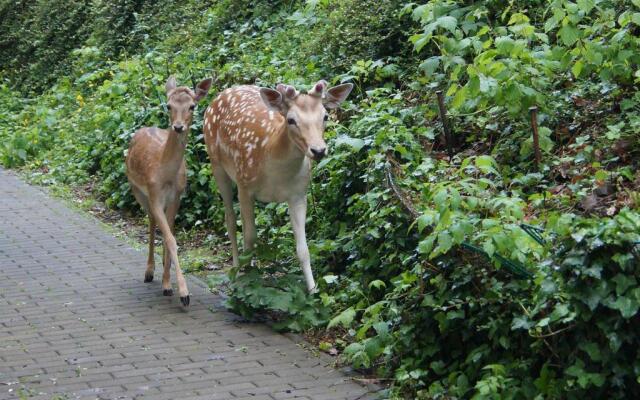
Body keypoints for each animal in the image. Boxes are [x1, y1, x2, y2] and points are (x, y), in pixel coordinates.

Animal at [125, 75, 212, 306]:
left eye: (192, 106)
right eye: (169, 105)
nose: (178, 126)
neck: (166, 176)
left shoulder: (177, 197)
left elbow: (169, 236)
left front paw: (168, 285)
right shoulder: (154, 195)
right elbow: (170, 238)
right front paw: (184, 294)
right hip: (137, 190)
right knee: (150, 222)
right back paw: (148, 272)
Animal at [204, 79, 356, 292]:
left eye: (325, 116)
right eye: (291, 120)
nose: (318, 150)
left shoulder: (298, 194)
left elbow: (303, 249)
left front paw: (313, 290)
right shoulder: (245, 186)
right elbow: (250, 238)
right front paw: (247, 284)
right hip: (217, 164)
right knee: (231, 221)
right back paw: (235, 269)